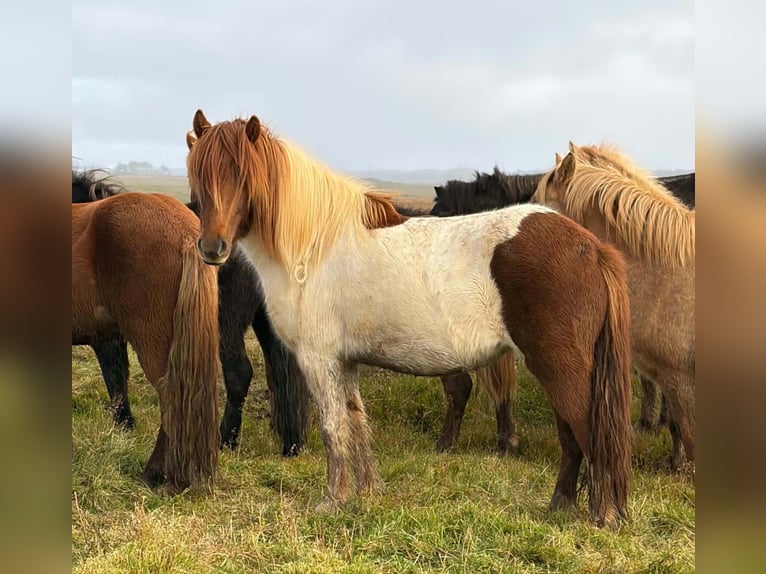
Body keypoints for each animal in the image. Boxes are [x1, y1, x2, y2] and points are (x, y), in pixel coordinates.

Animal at [71, 169, 309, 455]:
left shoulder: (105, 337)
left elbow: (113, 375)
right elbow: (118, 376)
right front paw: (125, 426)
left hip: (222, 325)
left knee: (239, 374)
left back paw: (225, 440)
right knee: (282, 374)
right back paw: (290, 444)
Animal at [185, 110, 634, 527]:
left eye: (242, 176)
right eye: (199, 177)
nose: (212, 248)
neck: (313, 245)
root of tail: (591, 247)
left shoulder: (319, 359)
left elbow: (334, 428)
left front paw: (332, 501)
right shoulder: (345, 361)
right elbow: (356, 421)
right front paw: (367, 492)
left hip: (558, 365)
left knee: (590, 432)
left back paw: (604, 516)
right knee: (571, 436)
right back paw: (561, 505)